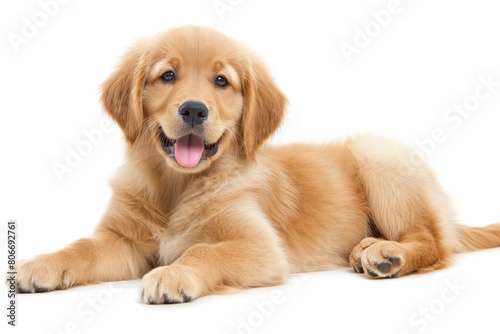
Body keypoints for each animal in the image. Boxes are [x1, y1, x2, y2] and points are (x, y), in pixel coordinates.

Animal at [17, 25, 498, 302]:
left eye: (221, 81)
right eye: (167, 75)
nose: (194, 110)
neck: (176, 185)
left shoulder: (261, 247)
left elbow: (202, 249)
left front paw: (174, 273)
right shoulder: (123, 240)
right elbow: (83, 247)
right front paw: (42, 265)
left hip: (378, 154)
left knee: (433, 243)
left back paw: (386, 254)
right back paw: (365, 248)